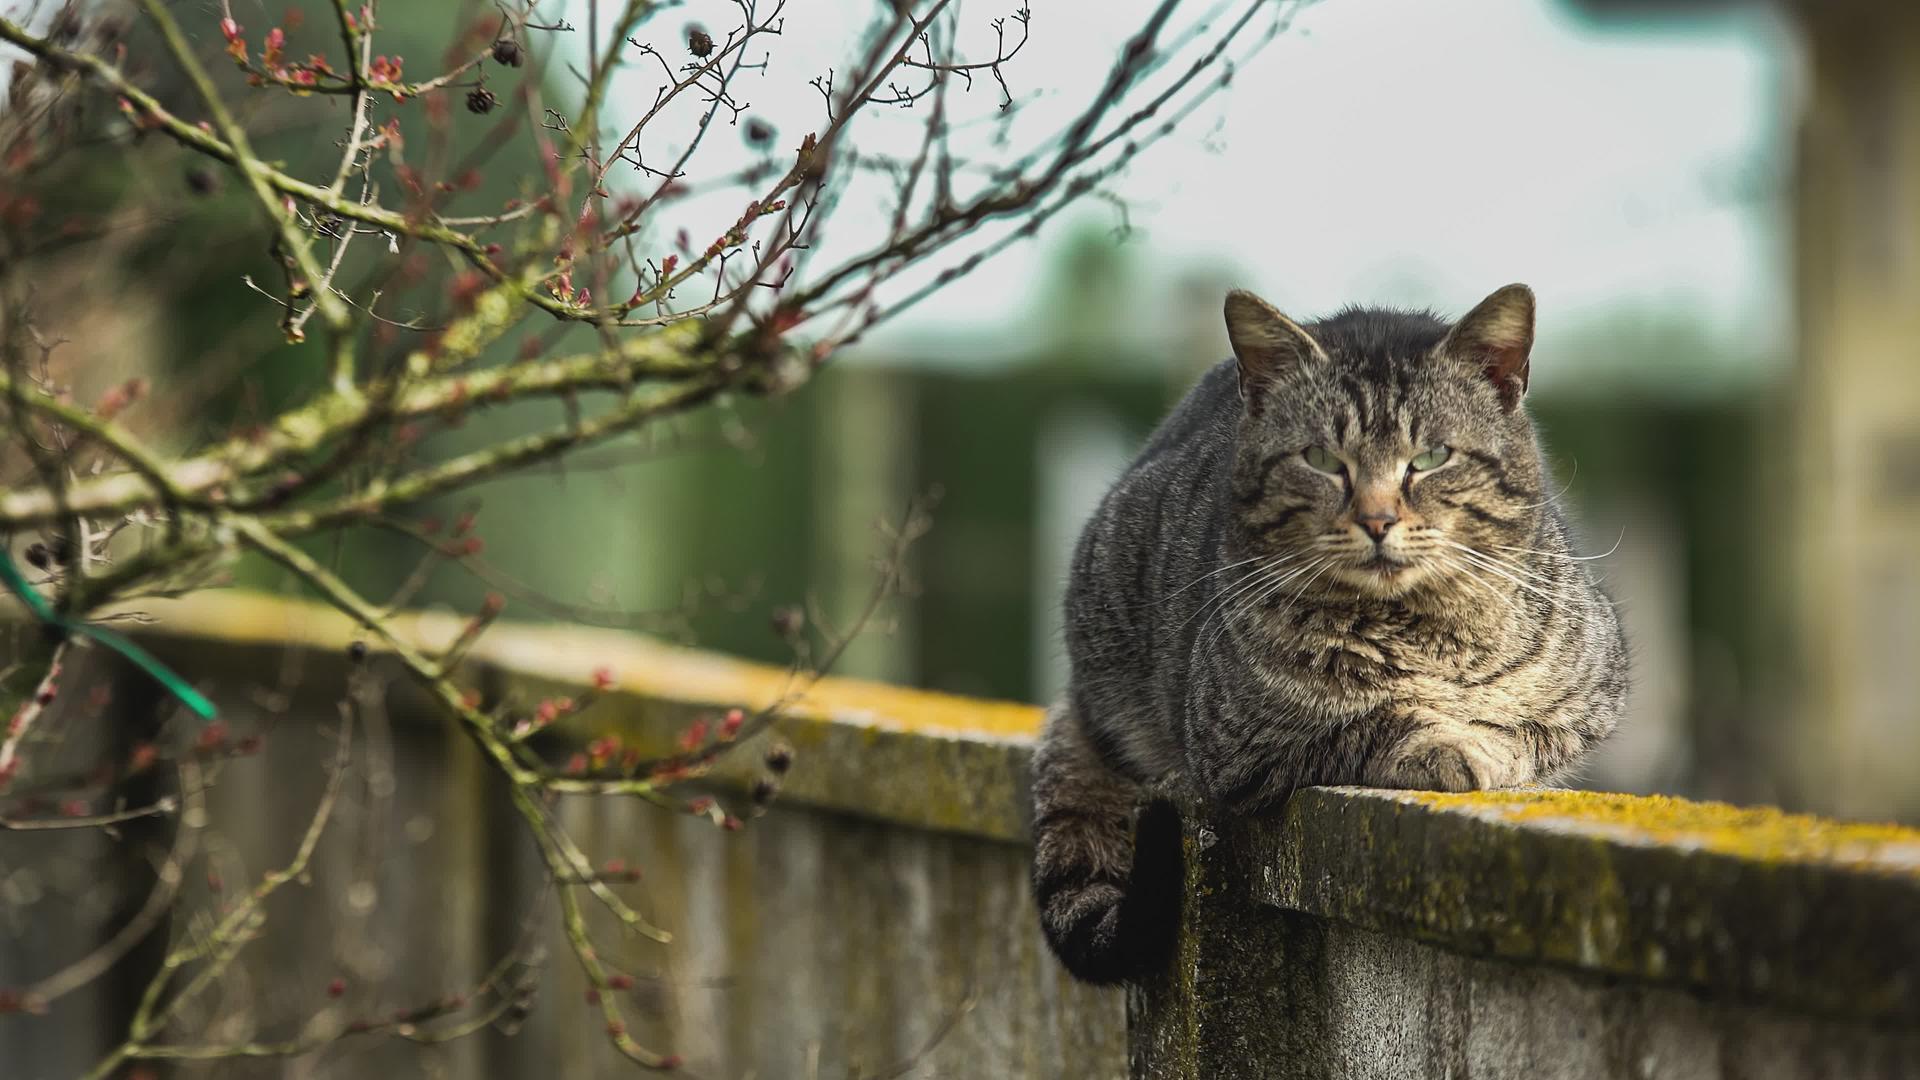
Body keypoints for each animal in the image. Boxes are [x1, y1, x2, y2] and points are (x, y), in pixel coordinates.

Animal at [1029, 282, 1628, 980]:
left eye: (1430, 458)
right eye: (1321, 459)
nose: (1376, 520)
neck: (1418, 630)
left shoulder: (1594, 700)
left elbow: (1524, 729)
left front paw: (1482, 740)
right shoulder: (1242, 747)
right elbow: (1374, 719)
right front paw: (1446, 743)